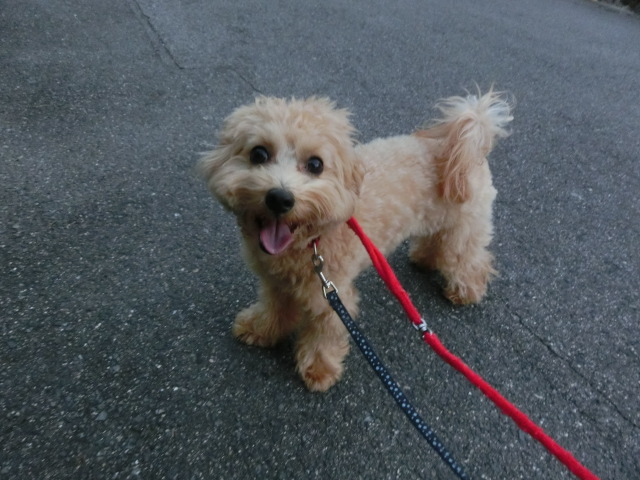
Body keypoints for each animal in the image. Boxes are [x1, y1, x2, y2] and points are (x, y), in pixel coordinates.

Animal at [200, 90, 512, 391]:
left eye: (316, 164)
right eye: (259, 153)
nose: (279, 198)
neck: (310, 239)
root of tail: (466, 140)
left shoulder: (330, 294)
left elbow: (324, 334)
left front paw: (319, 370)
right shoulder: (275, 282)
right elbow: (274, 307)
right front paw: (260, 329)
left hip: (466, 225)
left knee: (468, 258)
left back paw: (466, 291)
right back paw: (425, 259)